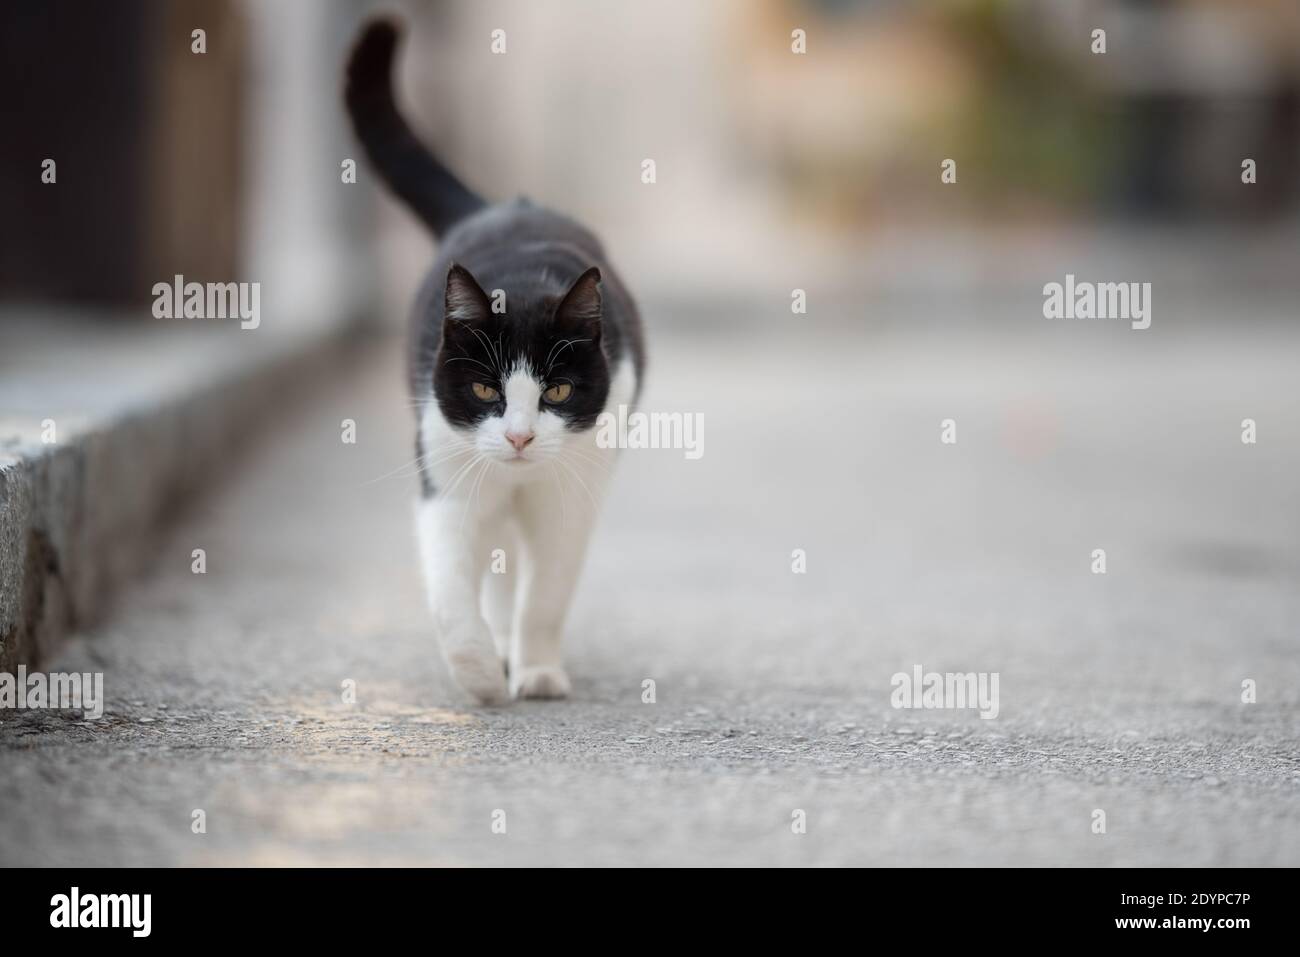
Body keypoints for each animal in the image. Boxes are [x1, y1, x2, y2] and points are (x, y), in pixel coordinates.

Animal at [345, 16, 644, 702]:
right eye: (485, 392)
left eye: (557, 392)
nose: (519, 438)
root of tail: (502, 206)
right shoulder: (447, 486)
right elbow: (452, 593)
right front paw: (480, 674)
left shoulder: (569, 500)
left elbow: (546, 597)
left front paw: (536, 672)